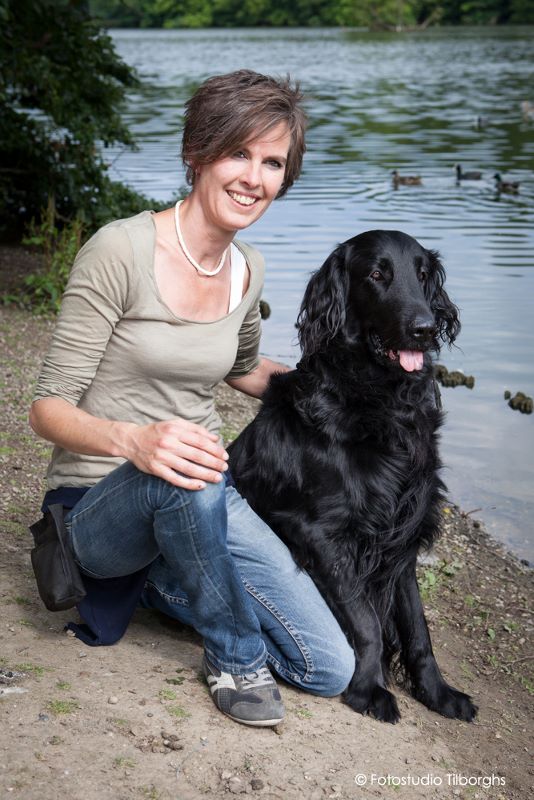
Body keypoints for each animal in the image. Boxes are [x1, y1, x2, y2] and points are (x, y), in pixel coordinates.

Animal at [228, 230, 480, 724]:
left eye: (423, 274)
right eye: (377, 274)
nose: (424, 328)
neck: (380, 400)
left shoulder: (400, 536)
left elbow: (418, 629)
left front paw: (438, 693)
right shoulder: (322, 533)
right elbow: (367, 623)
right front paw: (368, 689)